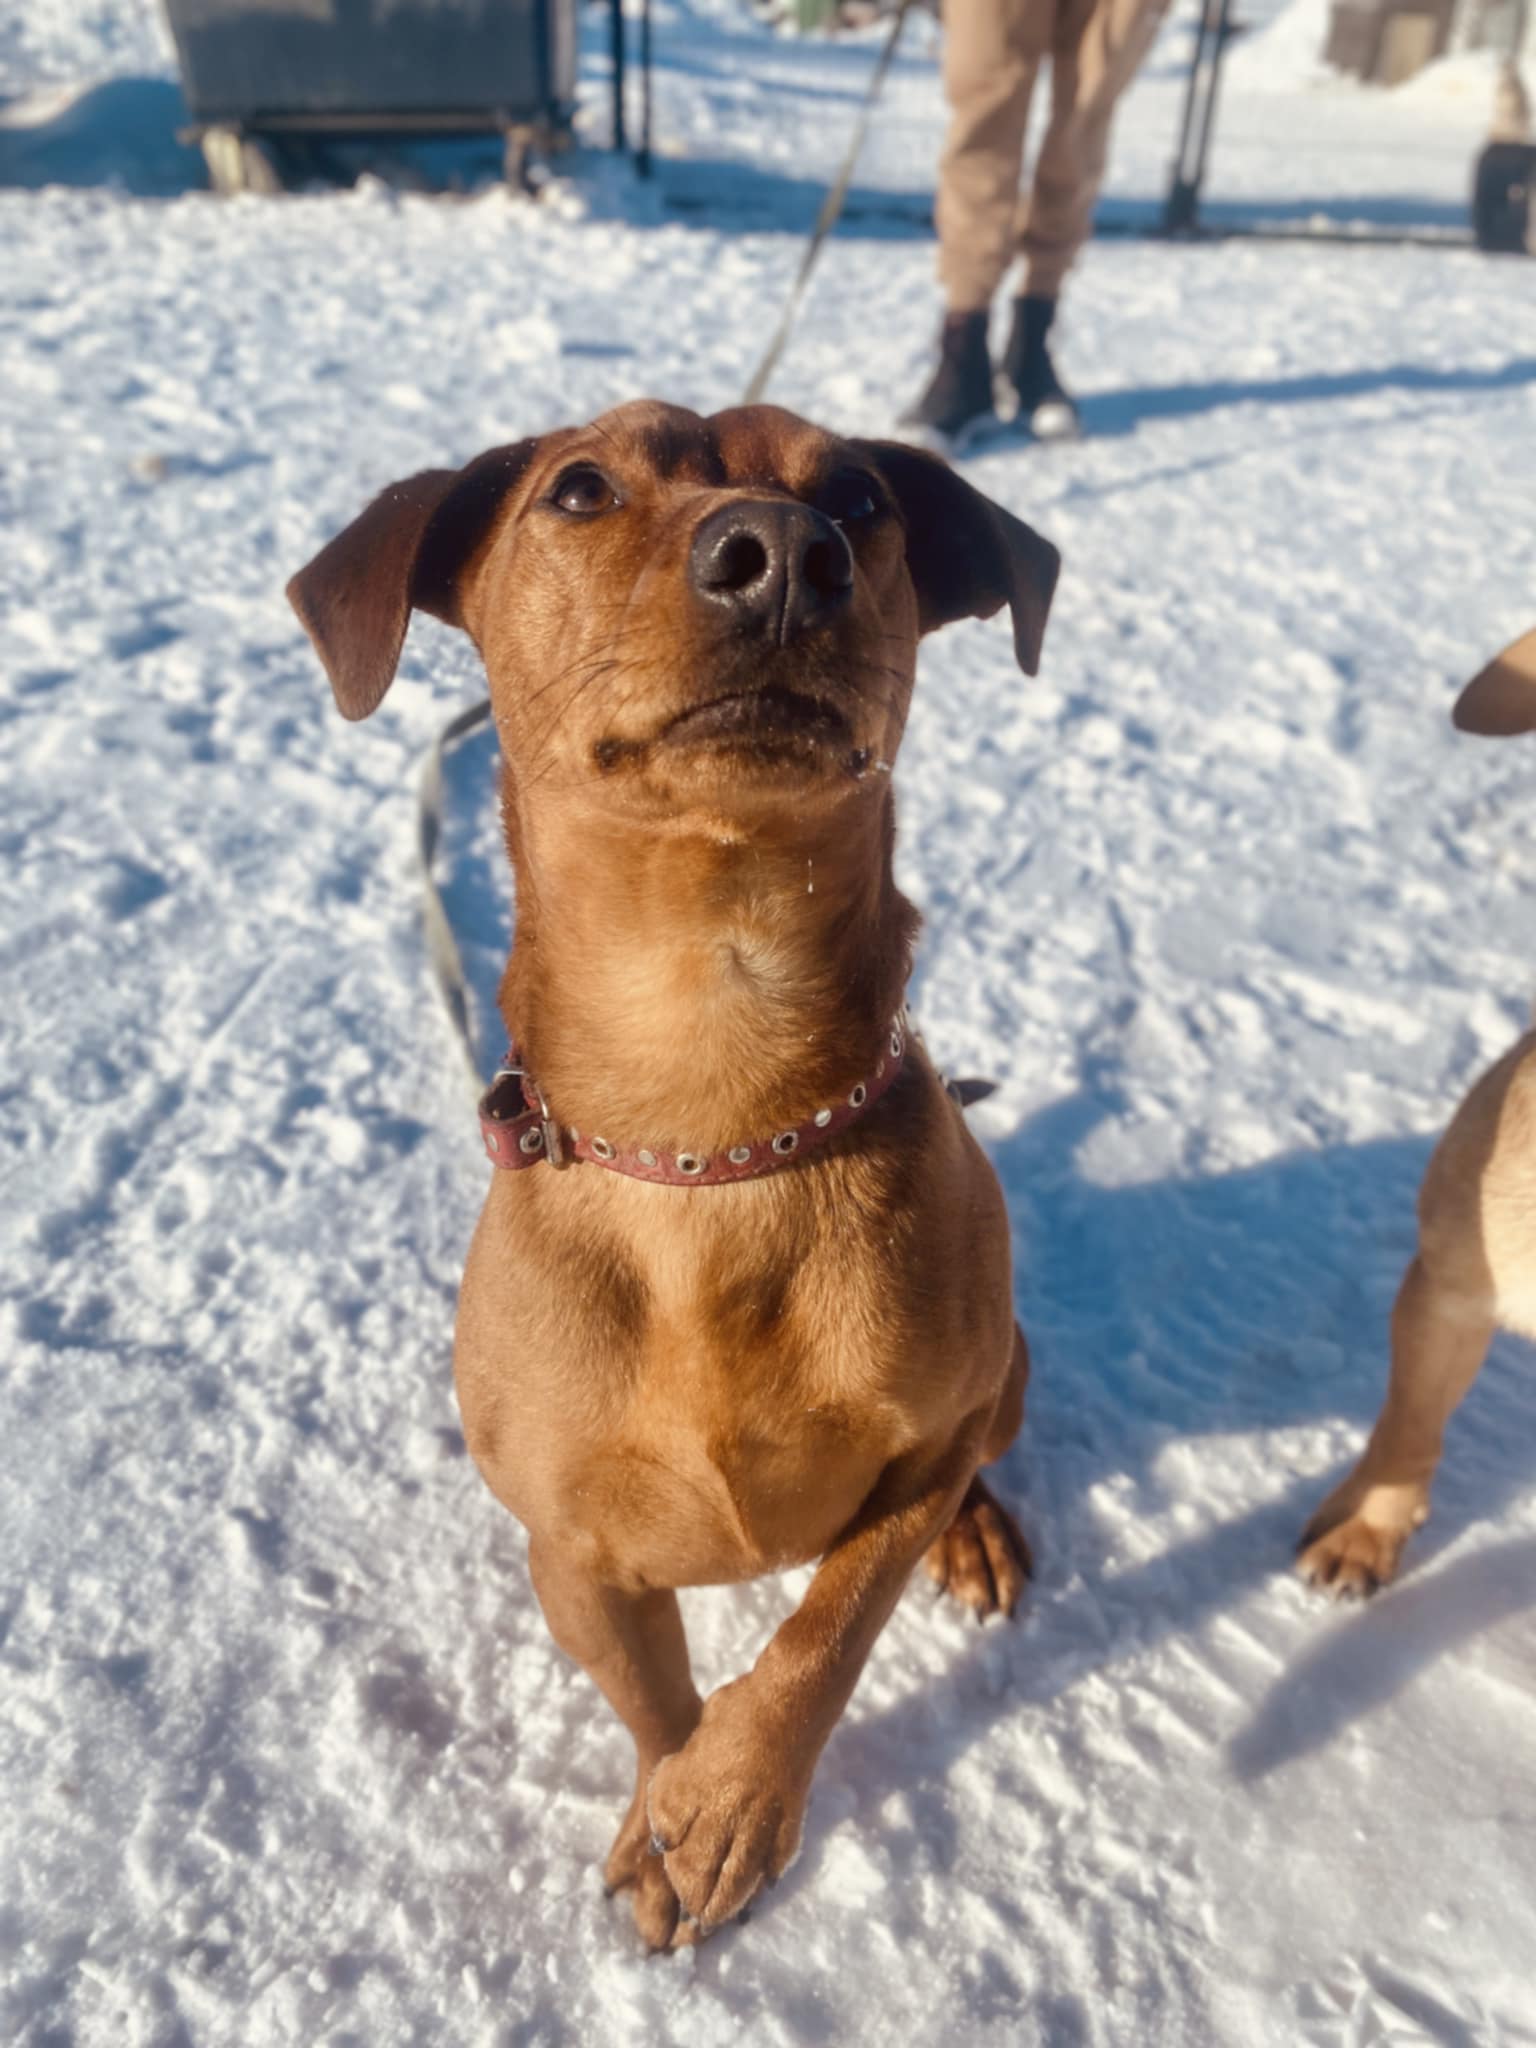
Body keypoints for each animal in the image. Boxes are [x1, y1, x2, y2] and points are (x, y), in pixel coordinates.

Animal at [287, 401, 1060, 1946]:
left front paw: (733, 1803)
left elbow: (825, 1630)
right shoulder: (569, 1549)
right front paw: (670, 1806)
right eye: (581, 488)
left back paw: (982, 1534)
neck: (714, 1113)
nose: (782, 554)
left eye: (863, 496)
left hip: (1000, 1374)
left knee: (978, 1457)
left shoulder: (914, 1453)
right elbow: (655, 1697)